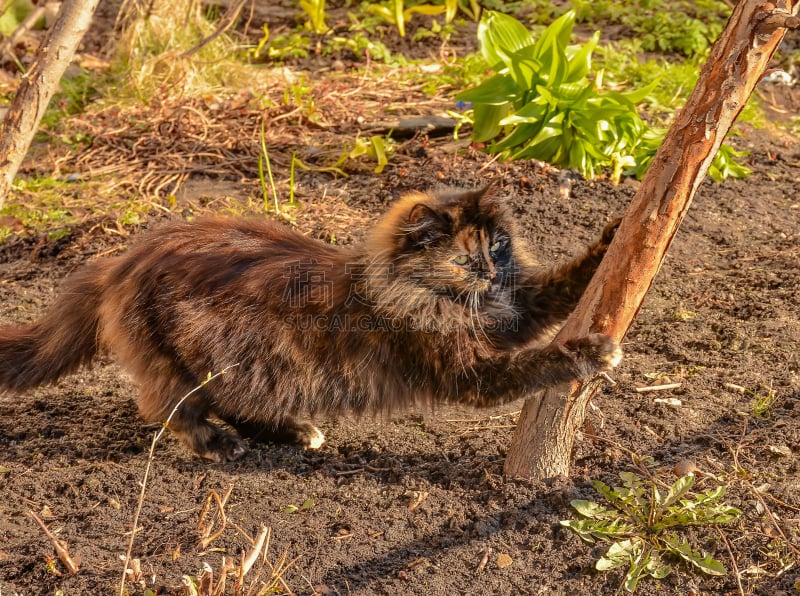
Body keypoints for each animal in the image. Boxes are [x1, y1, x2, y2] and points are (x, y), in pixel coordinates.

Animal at [0, 186, 620, 460]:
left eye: (500, 246)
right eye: (467, 260)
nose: (493, 274)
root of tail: (119, 262)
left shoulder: (509, 317)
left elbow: (560, 287)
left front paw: (612, 241)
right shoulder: (468, 373)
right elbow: (538, 360)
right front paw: (591, 353)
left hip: (240, 367)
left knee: (232, 403)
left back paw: (297, 432)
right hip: (181, 363)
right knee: (172, 409)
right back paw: (219, 444)